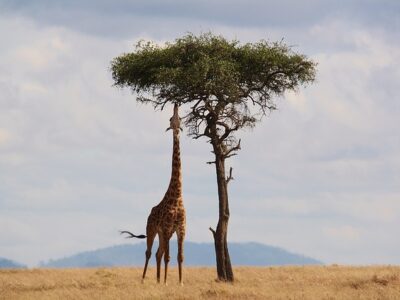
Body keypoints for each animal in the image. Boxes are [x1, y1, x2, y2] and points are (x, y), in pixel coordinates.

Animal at [120, 104, 186, 284]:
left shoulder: (181, 228)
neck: (177, 196)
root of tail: (150, 213)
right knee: (150, 253)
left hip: (162, 234)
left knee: (158, 253)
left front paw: (180, 282)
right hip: (152, 229)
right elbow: (168, 257)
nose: (176, 105)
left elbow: (180, 256)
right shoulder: (167, 228)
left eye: (180, 118)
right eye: (171, 119)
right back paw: (144, 279)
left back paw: (157, 280)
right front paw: (166, 282)